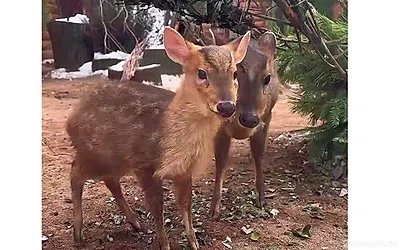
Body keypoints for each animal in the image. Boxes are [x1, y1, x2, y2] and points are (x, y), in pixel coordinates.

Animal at [65, 26, 250, 249]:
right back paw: (78, 234)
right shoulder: (145, 164)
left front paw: (194, 243)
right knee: (75, 173)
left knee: (109, 179)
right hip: (95, 152)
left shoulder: (183, 170)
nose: (227, 106)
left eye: (234, 74)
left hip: (115, 159)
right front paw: (165, 244)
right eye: (202, 72)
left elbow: (186, 205)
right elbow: (157, 208)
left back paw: (135, 223)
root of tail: (71, 119)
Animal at [202, 26, 280, 219]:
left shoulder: (266, 118)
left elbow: (258, 155)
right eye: (233, 74)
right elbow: (221, 161)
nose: (250, 118)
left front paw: (261, 198)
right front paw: (214, 208)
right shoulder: (220, 127)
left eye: (267, 78)